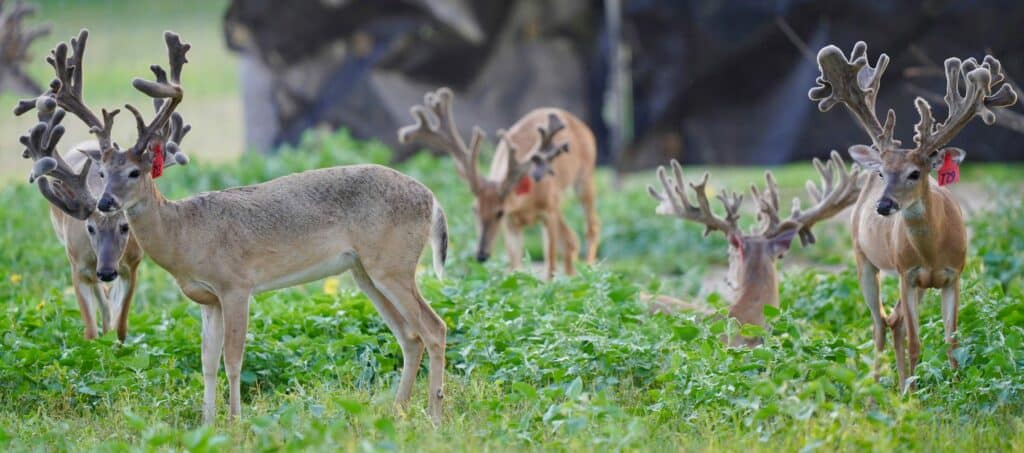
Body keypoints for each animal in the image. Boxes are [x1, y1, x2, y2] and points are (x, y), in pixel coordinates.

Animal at [15, 30, 451, 425]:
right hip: (364, 271)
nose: (105, 202)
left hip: (392, 264)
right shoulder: (207, 299)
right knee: (409, 335)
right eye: (103, 173)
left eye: (135, 172)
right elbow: (206, 360)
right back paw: (397, 411)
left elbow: (233, 358)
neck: (185, 234)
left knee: (434, 327)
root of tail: (432, 199)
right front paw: (207, 424)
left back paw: (433, 415)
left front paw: (235, 420)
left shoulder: (237, 285)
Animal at [399, 88, 599, 279]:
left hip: (585, 177)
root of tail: (580, 124)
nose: (481, 255)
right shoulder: (512, 224)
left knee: (590, 229)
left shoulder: (548, 210)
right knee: (571, 240)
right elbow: (515, 267)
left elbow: (550, 264)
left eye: (499, 212)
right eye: (474, 209)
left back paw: (588, 271)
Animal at [809, 42, 1017, 392]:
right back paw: (879, 387)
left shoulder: (954, 274)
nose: (883, 206)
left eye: (915, 173)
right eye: (882, 172)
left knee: (894, 321)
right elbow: (917, 342)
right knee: (880, 323)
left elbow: (952, 341)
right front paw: (915, 395)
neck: (932, 252)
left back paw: (902, 383)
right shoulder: (906, 273)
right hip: (864, 258)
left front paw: (956, 388)